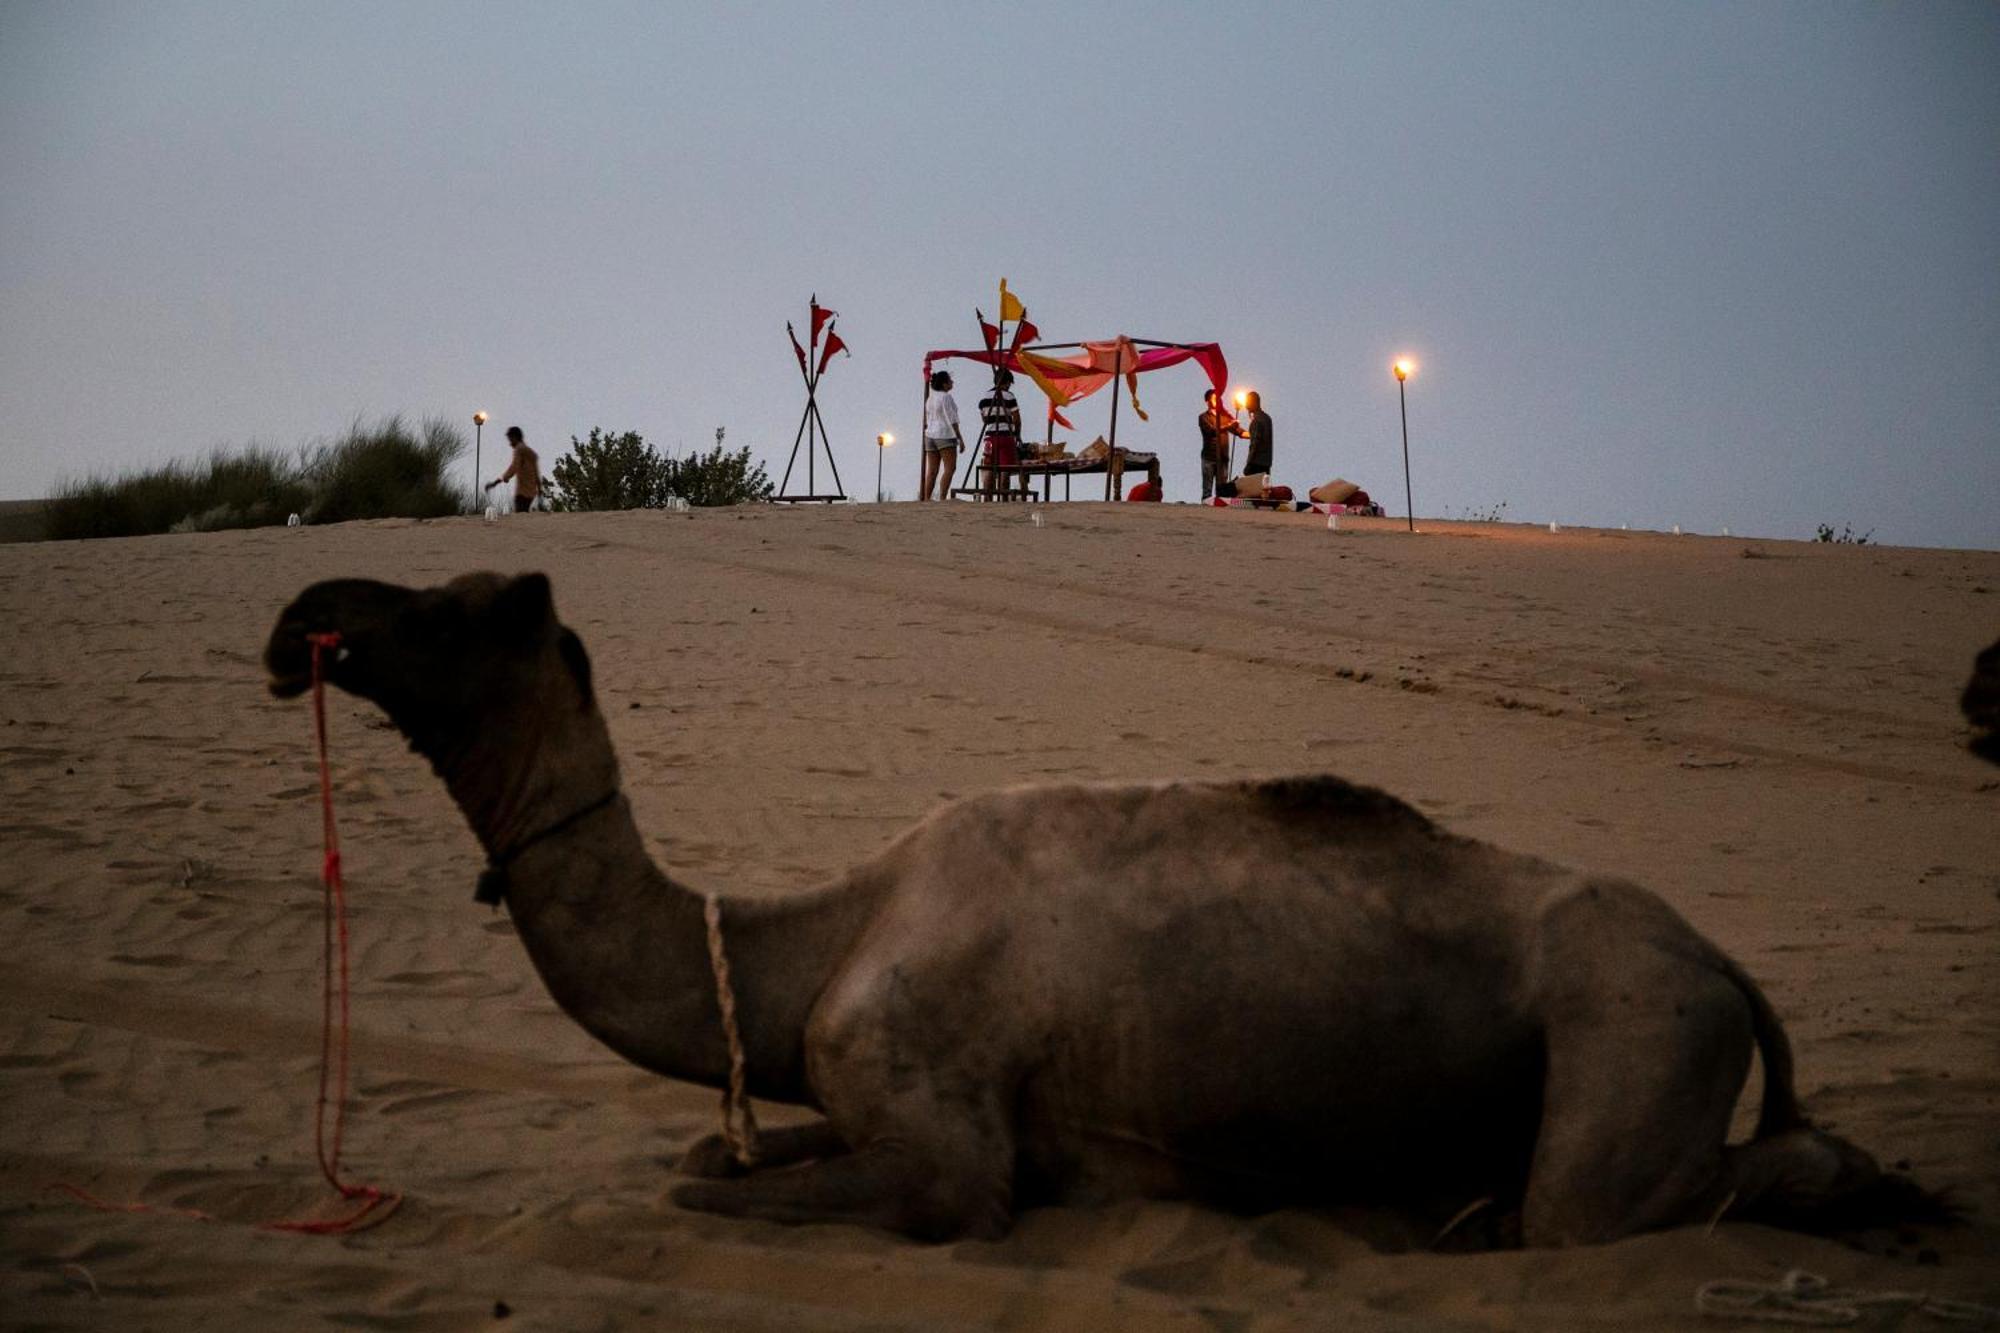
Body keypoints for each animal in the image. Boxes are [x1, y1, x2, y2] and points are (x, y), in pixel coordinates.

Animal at [258, 576, 1928, 1240]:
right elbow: (695, 1153)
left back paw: (1873, 1191)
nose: (298, 620)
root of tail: (1724, 960)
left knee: (1598, 1204)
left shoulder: (943, 1147)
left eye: (449, 611)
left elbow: (713, 1191)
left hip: (1641, 1024)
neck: (818, 940)